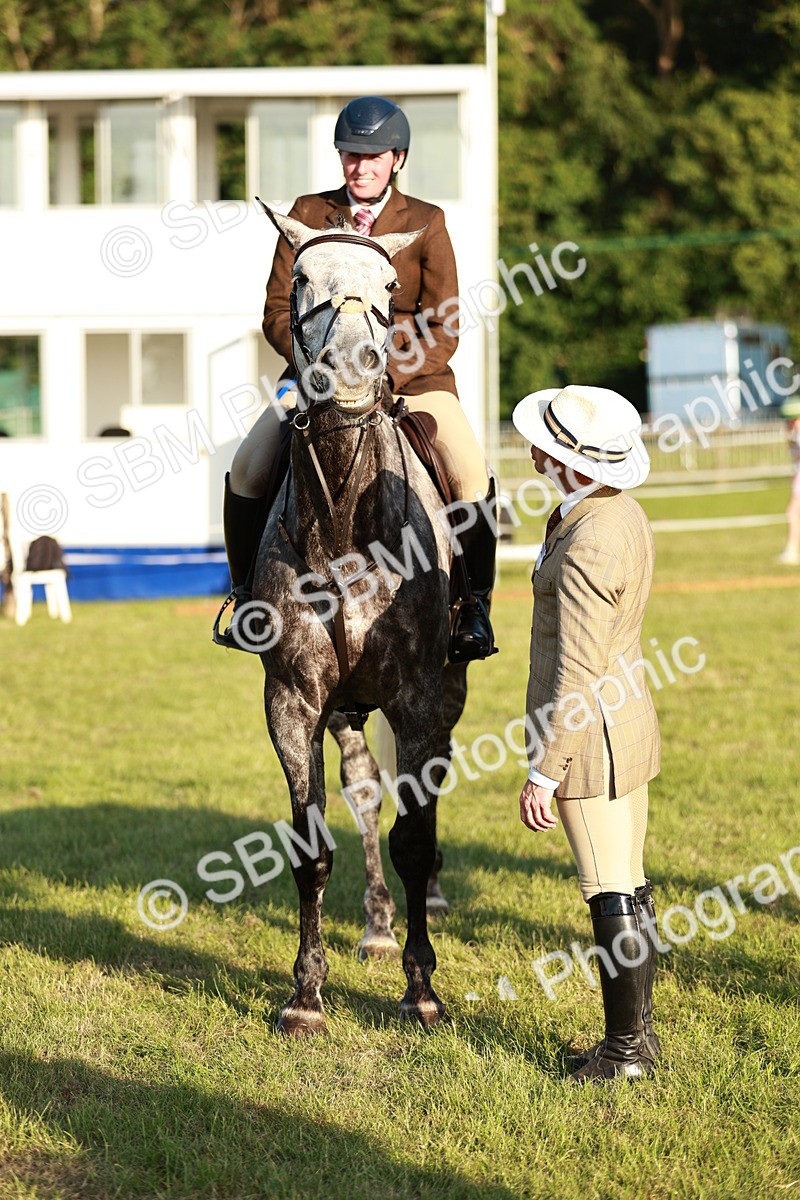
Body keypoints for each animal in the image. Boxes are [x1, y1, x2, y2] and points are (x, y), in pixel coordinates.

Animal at [247, 201, 469, 1035]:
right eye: (301, 278)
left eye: (391, 285)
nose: (349, 371)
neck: (346, 518)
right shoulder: (293, 699)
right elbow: (312, 849)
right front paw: (306, 996)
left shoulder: (420, 695)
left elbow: (415, 836)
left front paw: (422, 989)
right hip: (346, 707)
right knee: (369, 792)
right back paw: (376, 923)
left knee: (418, 797)